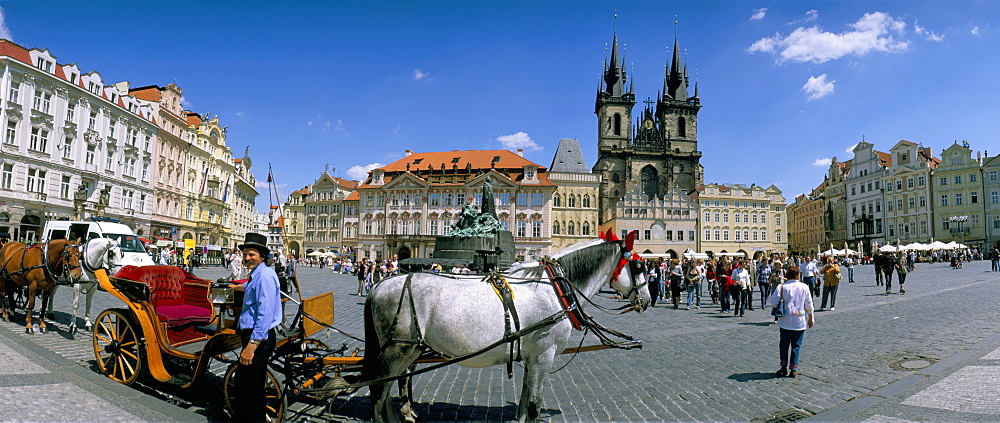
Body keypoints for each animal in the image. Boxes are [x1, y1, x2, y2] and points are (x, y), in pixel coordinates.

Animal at [364, 238, 652, 423]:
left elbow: (524, 402)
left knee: (389, 389)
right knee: (378, 394)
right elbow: (534, 406)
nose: (648, 300)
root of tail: (379, 286)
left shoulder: (532, 358)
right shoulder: (543, 357)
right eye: (639, 266)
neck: (555, 290)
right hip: (397, 351)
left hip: (409, 351)